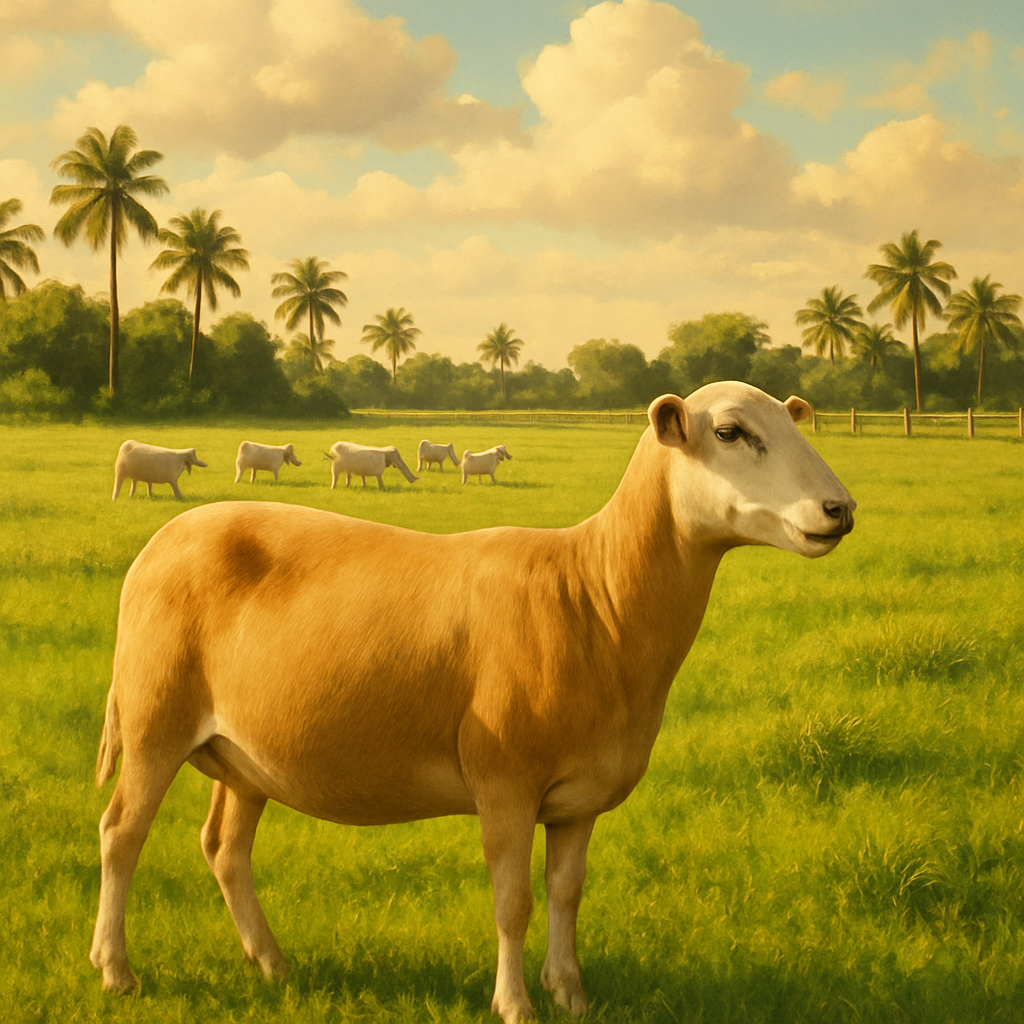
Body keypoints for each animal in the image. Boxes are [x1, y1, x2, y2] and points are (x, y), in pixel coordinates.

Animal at [89, 383, 855, 1023]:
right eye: (729, 432)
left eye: (794, 423)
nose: (840, 509)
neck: (596, 597)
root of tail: (164, 540)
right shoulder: (504, 780)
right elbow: (513, 901)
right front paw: (515, 1004)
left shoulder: (578, 798)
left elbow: (566, 893)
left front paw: (571, 994)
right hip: (155, 718)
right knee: (122, 833)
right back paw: (116, 970)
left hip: (248, 753)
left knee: (225, 848)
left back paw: (273, 964)